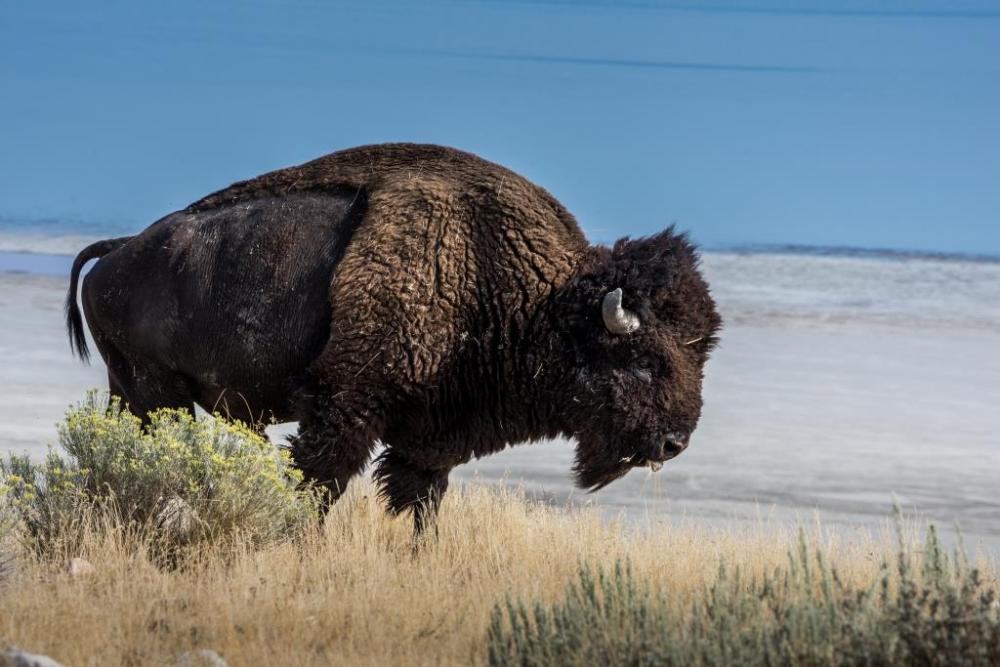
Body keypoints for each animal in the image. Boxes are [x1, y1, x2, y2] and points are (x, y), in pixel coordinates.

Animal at [66, 145, 724, 532]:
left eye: (700, 354)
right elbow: (319, 485)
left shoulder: (429, 441)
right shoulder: (344, 409)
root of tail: (115, 255)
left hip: (132, 393)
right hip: (156, 394)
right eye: (643, 359)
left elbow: (418, 505)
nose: (673, 443)